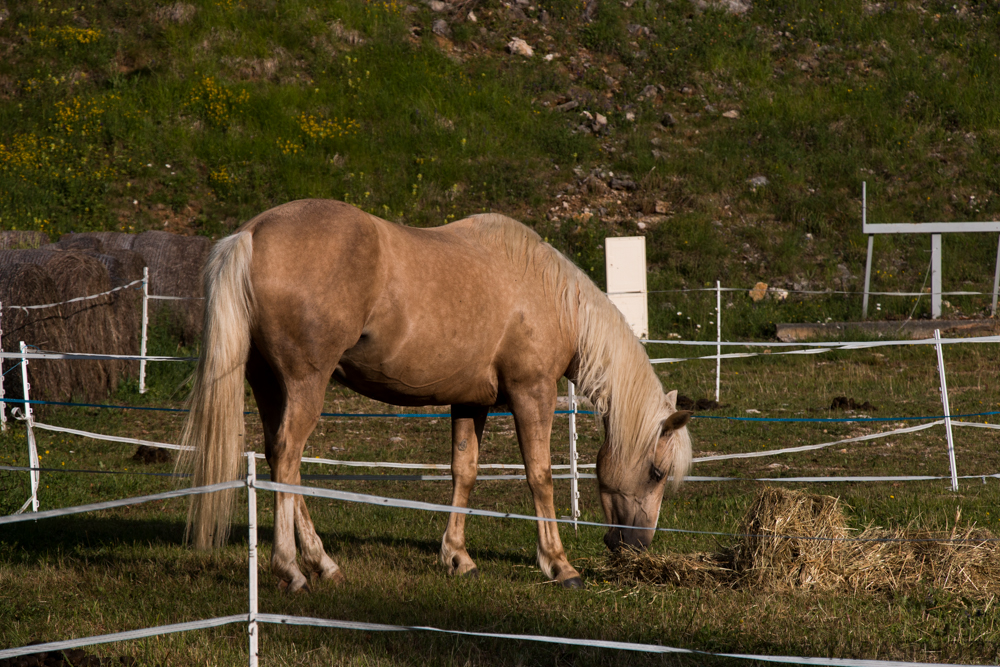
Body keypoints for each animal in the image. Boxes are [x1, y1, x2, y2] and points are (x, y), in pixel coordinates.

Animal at [178, 198, 688, 588]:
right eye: (657, 473)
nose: (638, 547)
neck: (550, 295)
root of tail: (252, 232)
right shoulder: (533, 394)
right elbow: (540, 476)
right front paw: (559, 565)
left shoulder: (470, 402)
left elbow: (464, 472)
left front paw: (458, 557)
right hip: (306, 384)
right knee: (287, 456)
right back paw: (291, 568)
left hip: (269, 384)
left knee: (280, 458)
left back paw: (324, 564)